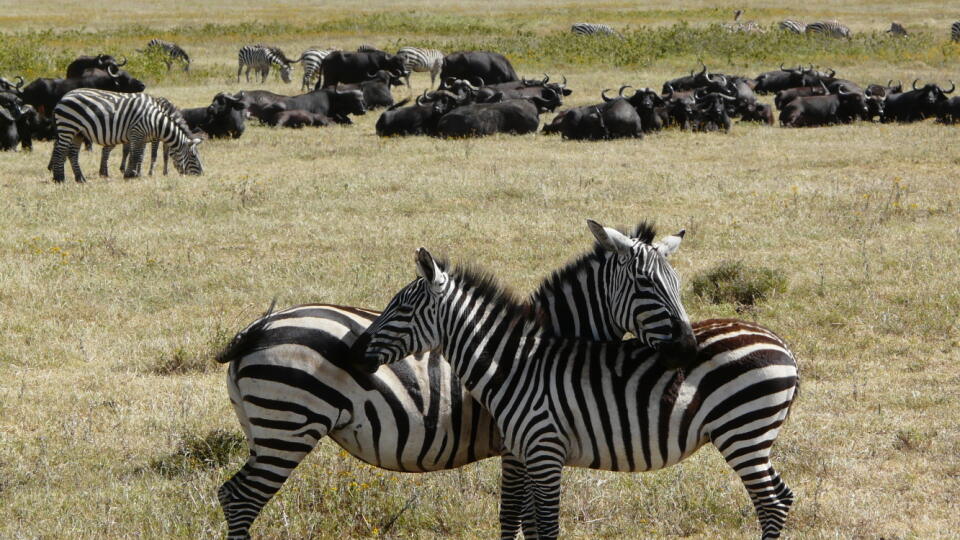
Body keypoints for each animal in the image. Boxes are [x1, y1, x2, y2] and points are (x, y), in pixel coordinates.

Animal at [48, 87, 202, 182]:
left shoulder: (141, 137)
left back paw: (80, 179)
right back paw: (59, 179)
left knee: (72, 153)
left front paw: (133, 173)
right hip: (68, 126)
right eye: (193, 156)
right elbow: (137, 155)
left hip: (77, 132)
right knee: (60, 151)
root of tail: (64, 97)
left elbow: (138, 155)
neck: (155, 120)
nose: (201, 174)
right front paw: (132, 174)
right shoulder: (137, 133)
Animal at [218, 220, 696, 540]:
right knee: (241, 499)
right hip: (288, 427)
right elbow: (515, 515)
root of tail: (258, 328)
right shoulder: (519, 447)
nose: (689, 348)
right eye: (645, 285)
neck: (534, 348)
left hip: (266, 430)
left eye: (677, 284)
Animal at [356, 248, 800, 540]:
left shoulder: (543, 450)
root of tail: (781, 344)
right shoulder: (524, 453)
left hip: (741, 431)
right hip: (752, 435)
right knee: (781, 496)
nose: (355, 351)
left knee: (770, 502)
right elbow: (526, 522)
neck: (514, 365)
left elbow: (544, 526)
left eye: (401, 309)